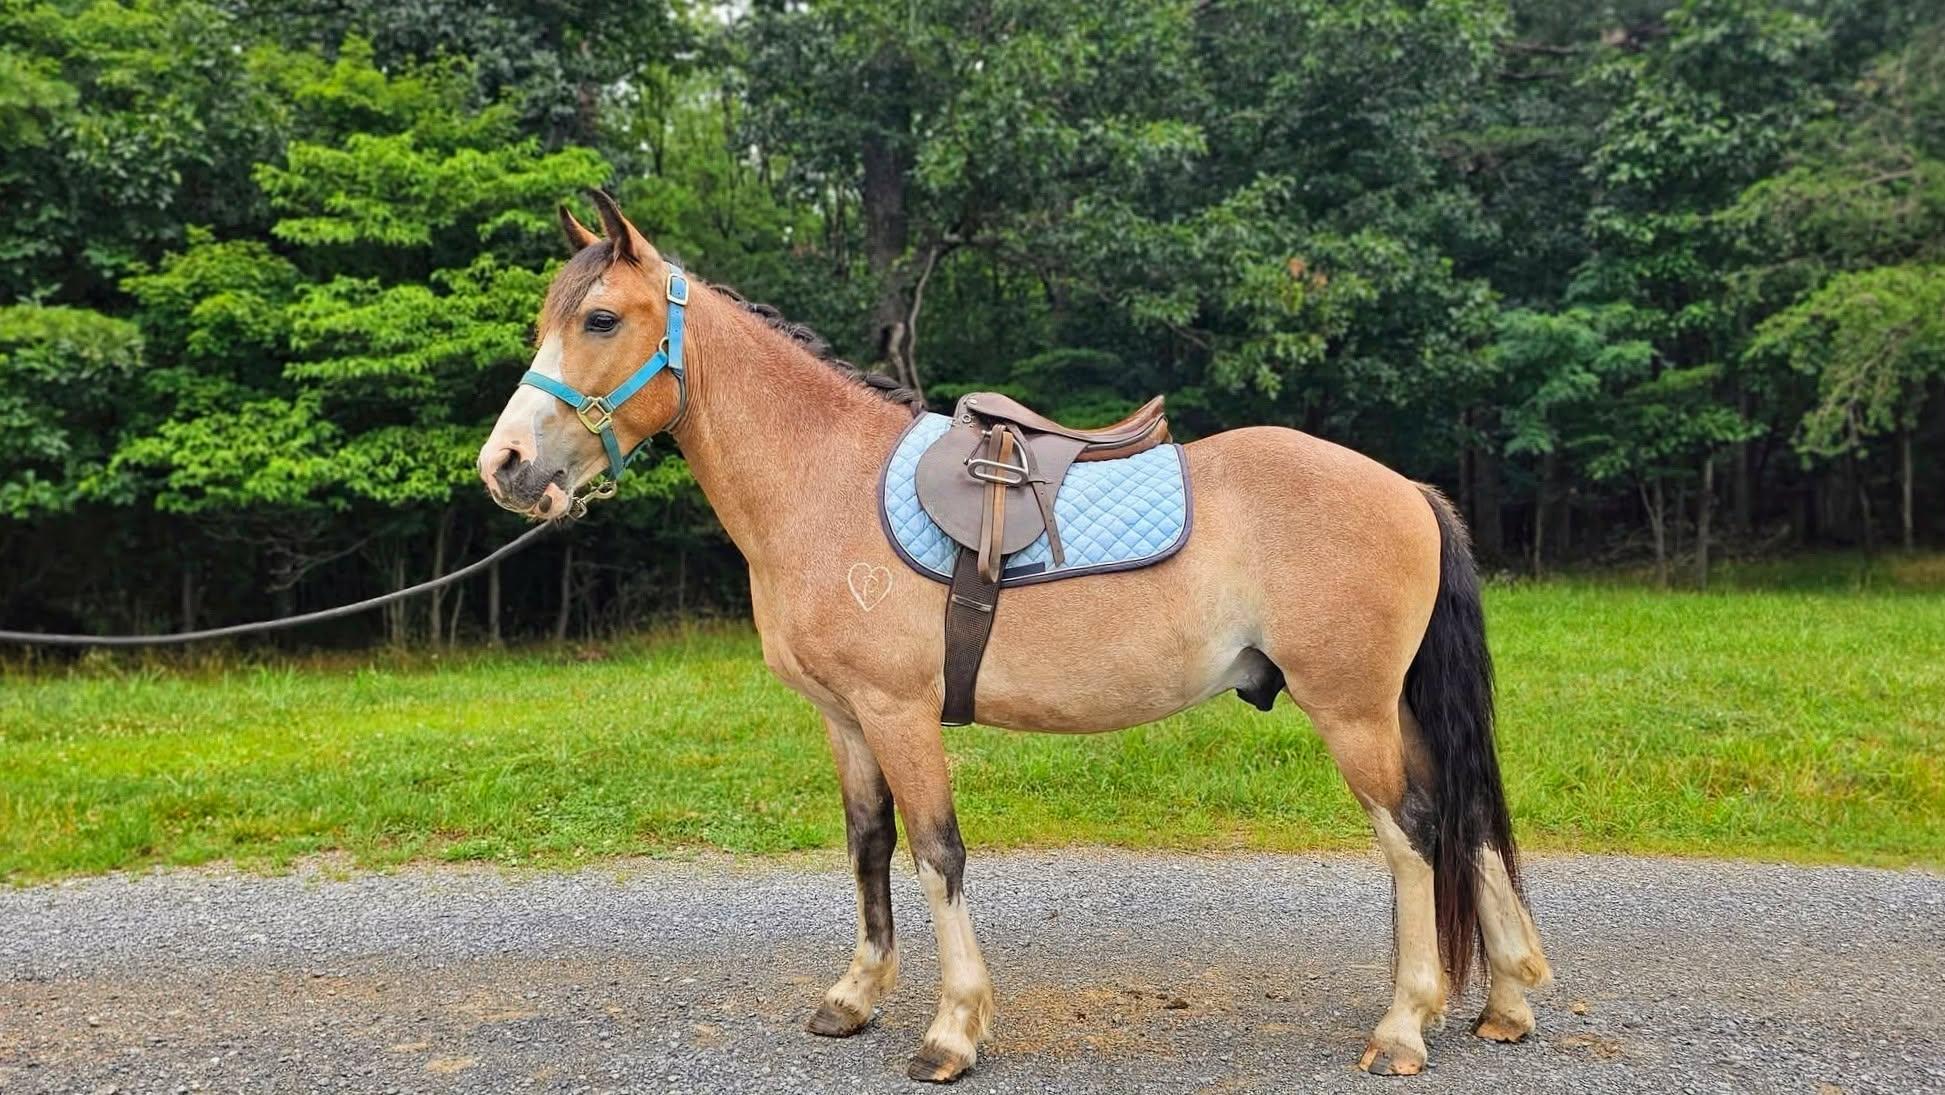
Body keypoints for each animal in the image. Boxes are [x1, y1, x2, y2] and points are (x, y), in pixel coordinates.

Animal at [477, 191, 1551, 1082]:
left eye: (600, 319)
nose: (506, 465)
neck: (824, 483)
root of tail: (1406, 489)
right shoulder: (845, 720)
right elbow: (869, 845)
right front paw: (854, 996)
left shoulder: (900, 714)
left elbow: (935, 851)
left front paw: (951, 1029)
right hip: (1390, 708)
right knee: (1458, 820)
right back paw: (1502, 1002)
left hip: (1351, 711)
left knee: (1411, 835)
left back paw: (1404, 1025)